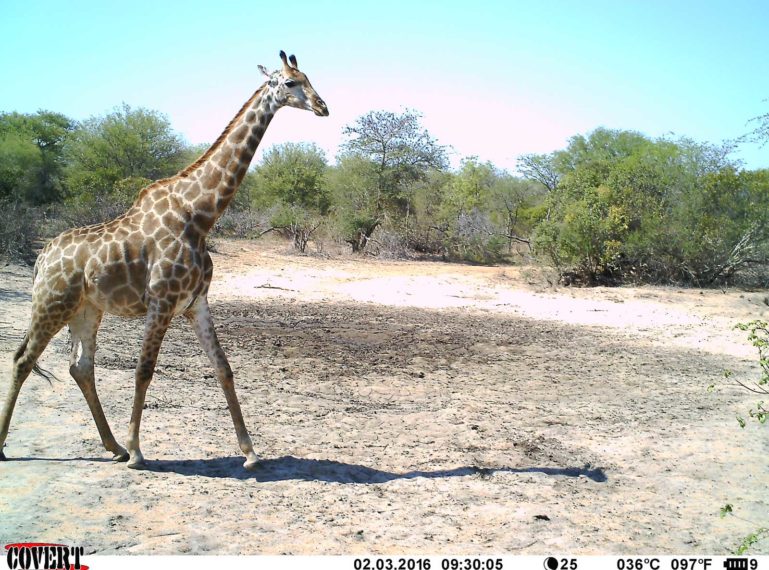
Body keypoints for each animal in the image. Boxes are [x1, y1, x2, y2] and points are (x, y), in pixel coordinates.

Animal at [0, 51, 328, 468]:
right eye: (290, 83)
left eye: (309, 78)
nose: (323, 106)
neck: (200, 214)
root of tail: (41, 257)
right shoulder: (161, 300)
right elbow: (144, 371)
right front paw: (140, 451)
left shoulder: (196, 302)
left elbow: (223, 368)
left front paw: (250, 452)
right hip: (51, 303)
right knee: (22, 359)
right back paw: (10, 445)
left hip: (87, 309)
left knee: (80, 367)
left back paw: (114, 446)